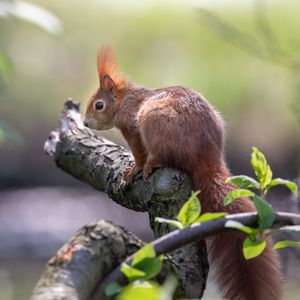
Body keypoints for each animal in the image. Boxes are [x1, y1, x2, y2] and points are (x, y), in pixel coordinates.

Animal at [83, 47, 282, 300]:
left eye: (99, 105)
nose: (85, 123)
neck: (125, 99)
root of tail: (205, 154)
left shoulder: (131, 126)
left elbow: (138, 153)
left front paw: (133, 170)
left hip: (152, 121)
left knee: (161, 157)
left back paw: (152, 164)